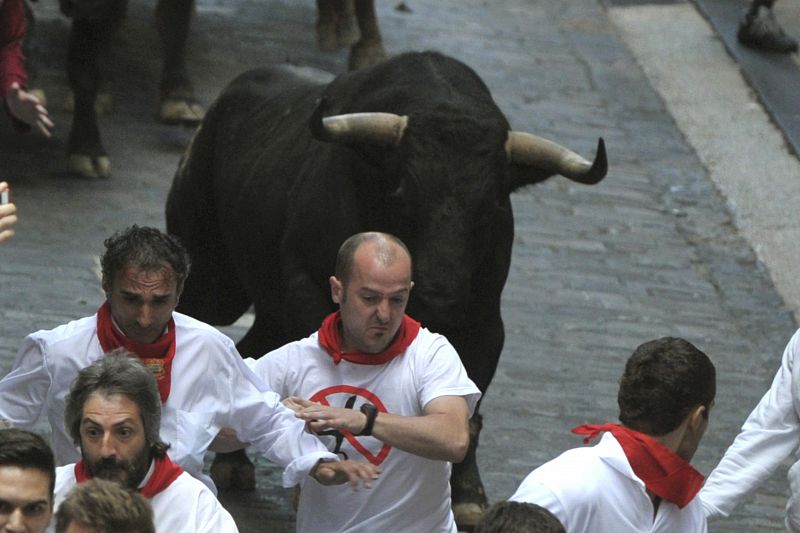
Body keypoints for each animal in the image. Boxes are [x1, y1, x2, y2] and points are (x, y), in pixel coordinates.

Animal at [167, 51, 608, 520]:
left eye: (491, 204)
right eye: (401, 193)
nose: (439, 295)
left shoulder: (485, 322)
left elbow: (468, 409)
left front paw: (468, 494)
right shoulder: (310, 293)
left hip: (270, 307)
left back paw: (233, 461)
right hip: (214, 285)